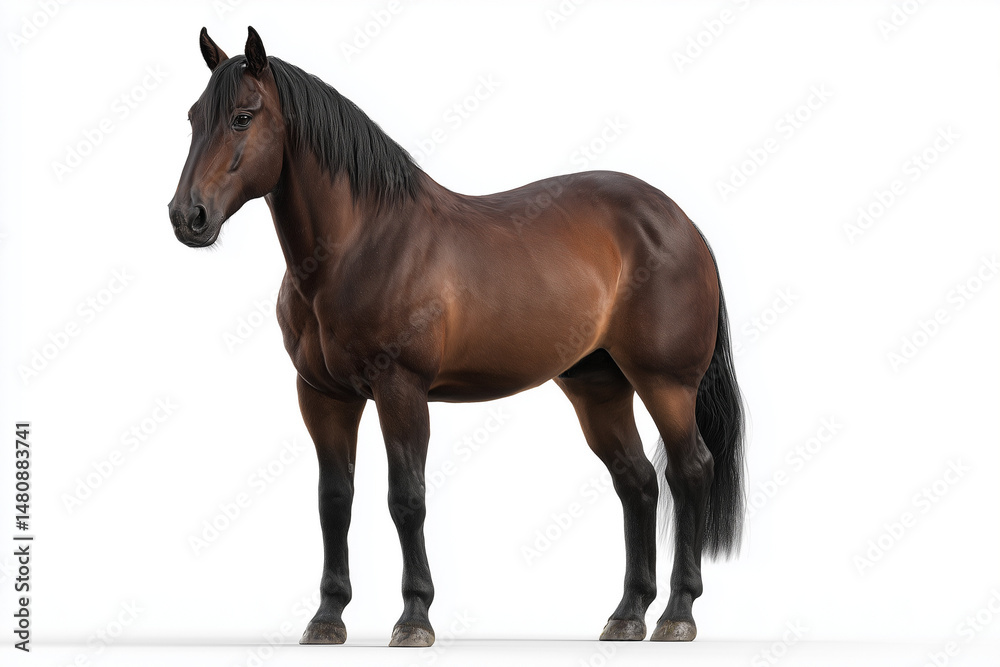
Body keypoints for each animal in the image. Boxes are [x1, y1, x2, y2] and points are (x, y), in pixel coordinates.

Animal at [168, 26, 746, 647]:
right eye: (194, 115)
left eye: (242, 117)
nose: (187, 216)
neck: (359, 246)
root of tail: (680, 223)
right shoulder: (322, 396)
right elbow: (334, 500)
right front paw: (327, 618)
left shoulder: (401, 391)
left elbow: (406, 498)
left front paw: (414, 618)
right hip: (598, 386)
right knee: (636, 481)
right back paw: (627, 614)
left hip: (666, 384)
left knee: (689, 472)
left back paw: (678, 613)